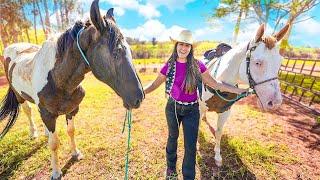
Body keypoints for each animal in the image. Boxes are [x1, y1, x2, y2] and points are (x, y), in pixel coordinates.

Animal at [0, 0, 144, 178]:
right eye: (116, 52)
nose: (139, 97)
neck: (58, 79)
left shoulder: (72, 109)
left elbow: (71, 131)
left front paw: (75, 153)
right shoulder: (48, 114)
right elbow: (54, 144)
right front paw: (56, 172)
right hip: (19, 96)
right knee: (28, 110)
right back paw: (34, 133)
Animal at [200, 23, 290, 167]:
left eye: (280, 63)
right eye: (257, 63)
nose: (275, 103)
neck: (218, 82)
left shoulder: (225, 112)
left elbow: (219, 132)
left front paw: (217, 155)